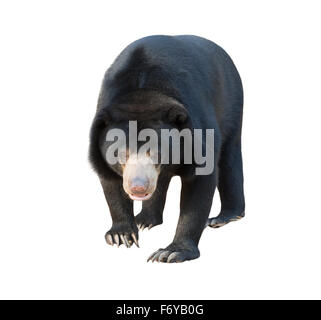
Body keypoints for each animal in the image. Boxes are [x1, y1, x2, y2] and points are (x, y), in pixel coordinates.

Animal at [89, 36, 244, 264]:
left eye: (156, 153)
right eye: (121, 153)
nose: (138, 188)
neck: (143, 91)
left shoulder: (196, 124)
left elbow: (201, 180)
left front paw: (171, 252)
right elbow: (110, 182)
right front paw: (121, 235)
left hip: (231, 100)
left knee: (229, 157)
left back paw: (225, 216)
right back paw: (145, 220)